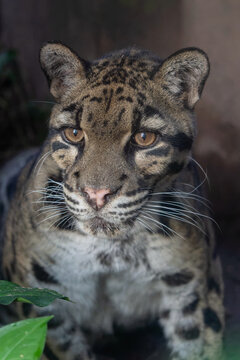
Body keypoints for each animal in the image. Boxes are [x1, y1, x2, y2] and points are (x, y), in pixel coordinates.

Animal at [0, 43, 224, 360]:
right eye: (74, 133)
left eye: (144, 137)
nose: (96, 195)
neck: (112, 250)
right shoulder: (38, 298)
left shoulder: (195, 295)